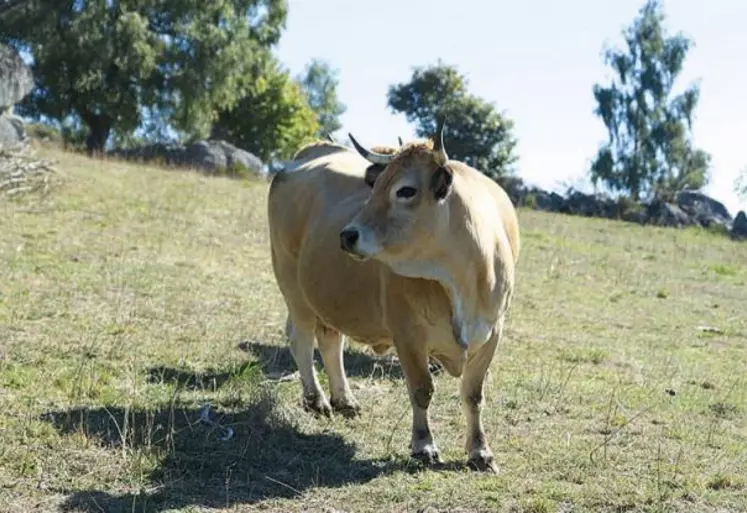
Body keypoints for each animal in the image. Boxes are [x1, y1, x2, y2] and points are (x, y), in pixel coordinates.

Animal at [268, 121, 520, 472]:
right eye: (375, 187)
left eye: (405, 190)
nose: (347, 235)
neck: (462, 278)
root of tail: (314, 150)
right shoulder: (408, 333)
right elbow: (421, 389)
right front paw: (424, 445)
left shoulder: (493, 332)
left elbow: (473, 394)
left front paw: (480, 451)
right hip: (293, 286)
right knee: (301, 338)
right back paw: (316, 400)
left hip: (326, 295)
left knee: (330, 340)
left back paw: (344, 399)